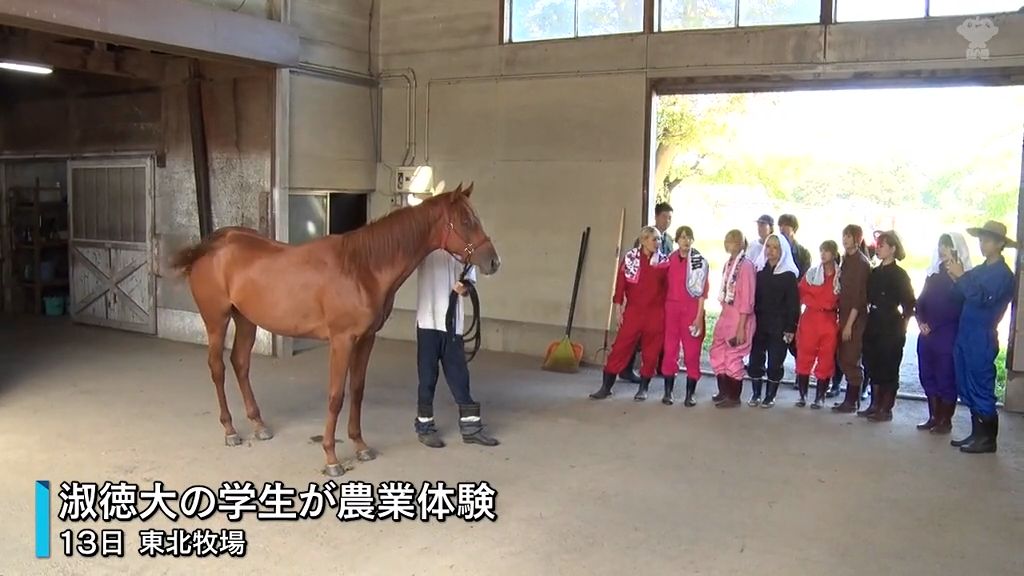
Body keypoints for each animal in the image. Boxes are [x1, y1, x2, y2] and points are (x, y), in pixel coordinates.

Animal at [169, 183, 497, 475]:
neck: (362, 268)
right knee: (218, 368)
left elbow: (357, 390)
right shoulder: (342, 340)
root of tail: (212, 244)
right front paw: (331, 458)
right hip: (216, 319)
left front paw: (361, 446)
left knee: (240, 363)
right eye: (466, 221)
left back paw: (259, 425)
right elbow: (336, 396)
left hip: (246, 319)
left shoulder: (366, 339)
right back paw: (230, 430)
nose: (493, 261)